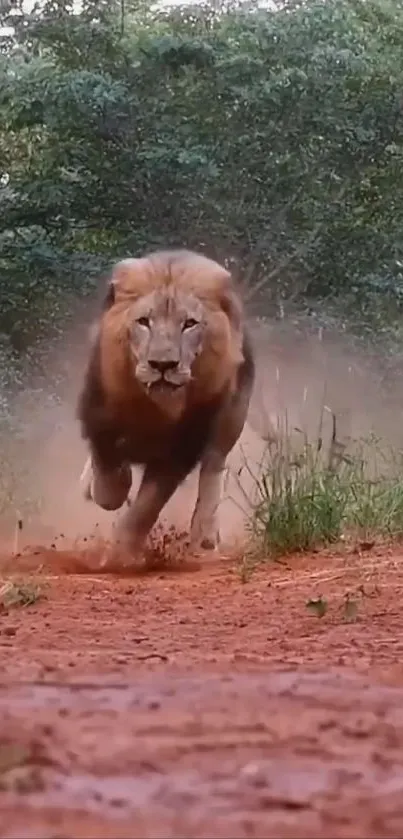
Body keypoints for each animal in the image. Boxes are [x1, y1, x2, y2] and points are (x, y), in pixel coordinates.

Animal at [77, 246, 256, 556]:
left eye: (189, 324)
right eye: (144, 322)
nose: (163, 365)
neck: (154, 408)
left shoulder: (181, 448)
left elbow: (146, 508)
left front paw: (122, 552)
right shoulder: (98, 415)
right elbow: (108, 474)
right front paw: (110, 488)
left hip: (232, 415)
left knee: (214, 465)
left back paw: (205, 533)